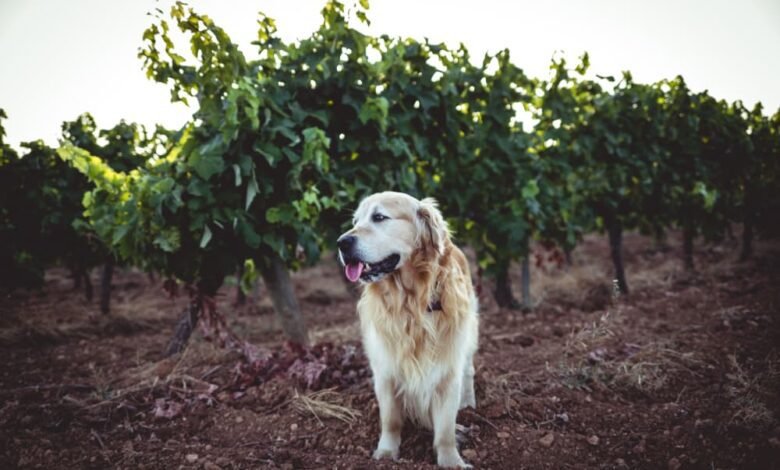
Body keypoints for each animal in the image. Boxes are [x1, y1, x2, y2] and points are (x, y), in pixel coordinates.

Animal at [336, 190, 478, 466]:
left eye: (379, 217)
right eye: (356, 221)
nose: (341, 243)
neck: (411, 303)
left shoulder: (447, 369)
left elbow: (445, 427)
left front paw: (451, 460)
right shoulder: (385, 369)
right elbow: (391, 419)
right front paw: (386, 453)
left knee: (469, 369)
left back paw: (468, 403)